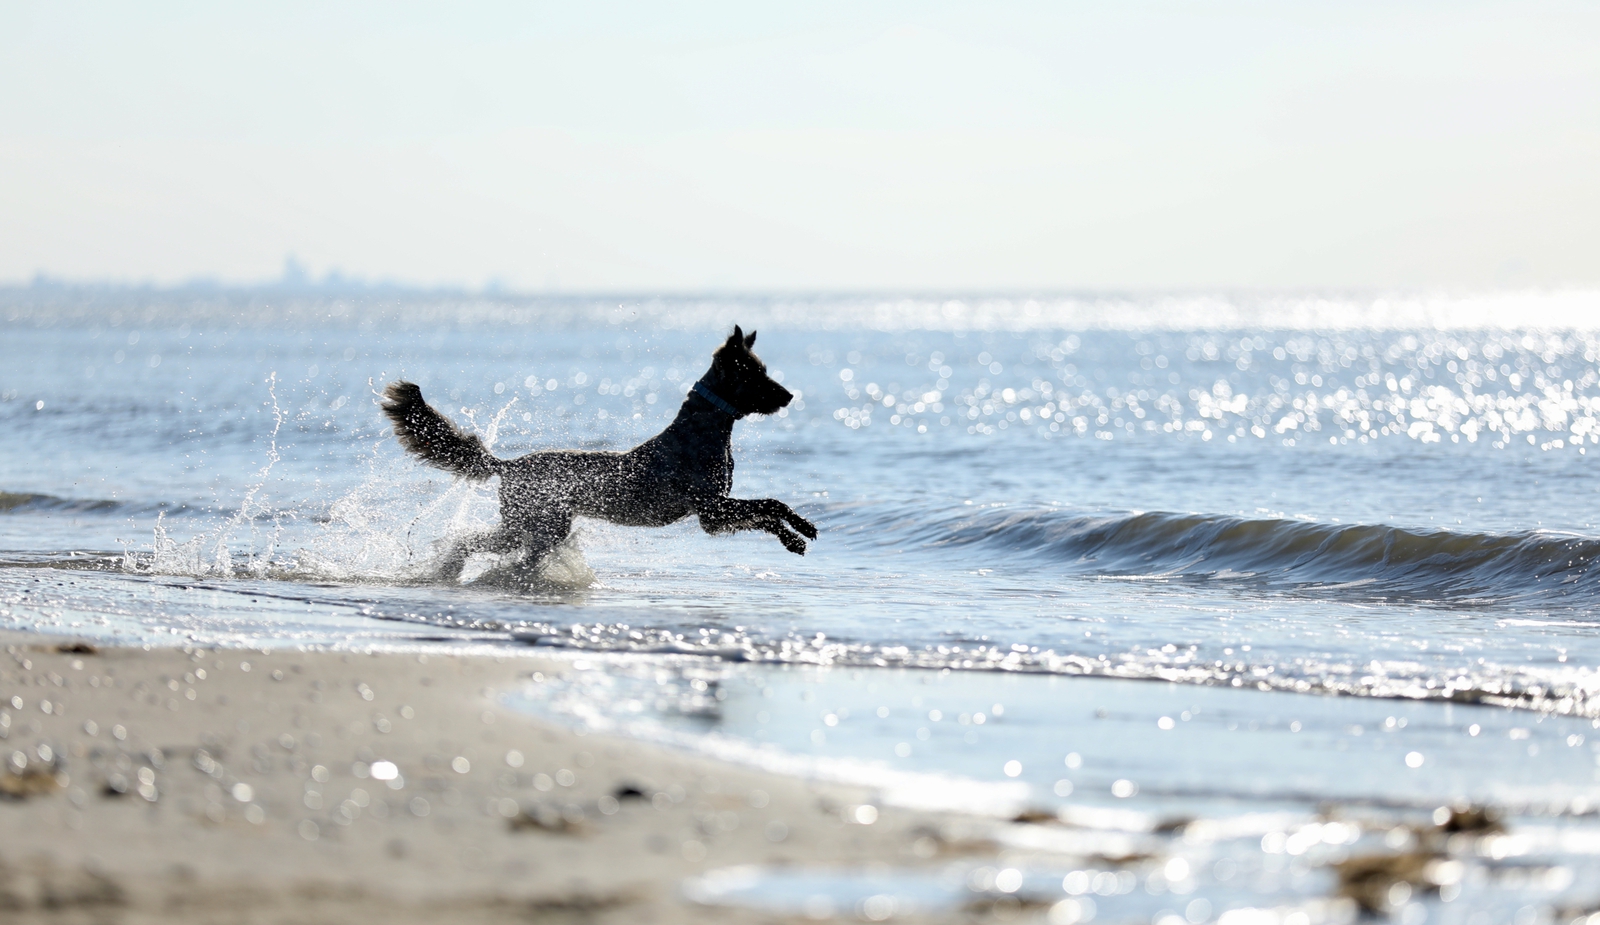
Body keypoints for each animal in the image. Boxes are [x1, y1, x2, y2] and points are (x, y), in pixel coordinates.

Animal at [380, 320, 819, 572]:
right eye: (755, 374)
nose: (789, 396)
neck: (705, 429)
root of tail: (507, 465)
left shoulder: (713, 513)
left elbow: (769, 508)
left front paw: (802, 527)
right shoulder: (711, 509)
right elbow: (768, 506)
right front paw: (795, 536)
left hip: (536, 526)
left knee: (477, 542)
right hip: (537, 525)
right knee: (482, 544)